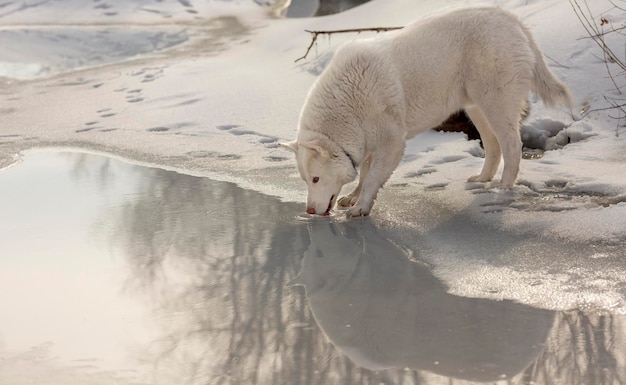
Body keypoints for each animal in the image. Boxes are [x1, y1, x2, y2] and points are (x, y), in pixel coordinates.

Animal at [280, 6, 572, 216]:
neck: (347, 106)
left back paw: (503, 186)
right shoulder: (368, 143)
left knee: (511, 146)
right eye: (306, 180)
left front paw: (361, 207)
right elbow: (363, 173)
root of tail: (510, 17)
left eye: (316, 178)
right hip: (475, 108)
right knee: (493, 146)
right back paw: (482, 179)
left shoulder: (392, 143)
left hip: (496, 103)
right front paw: (353, 197)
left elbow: (372, 178)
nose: (309, 211)